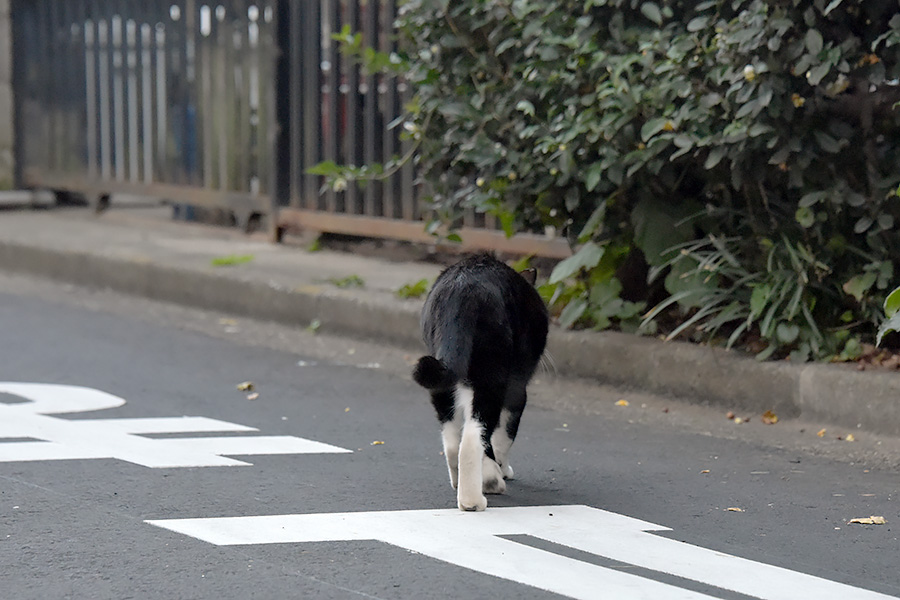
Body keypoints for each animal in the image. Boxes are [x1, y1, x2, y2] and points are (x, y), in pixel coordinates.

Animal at [414, 253, 548, 510]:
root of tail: (461, 293)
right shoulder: (517, 389)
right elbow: (505, 436)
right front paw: (502, 470)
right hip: (492, 377)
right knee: (473, 438)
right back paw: (479, 494)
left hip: (442, 375)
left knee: (452, 440)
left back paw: (461, 482)